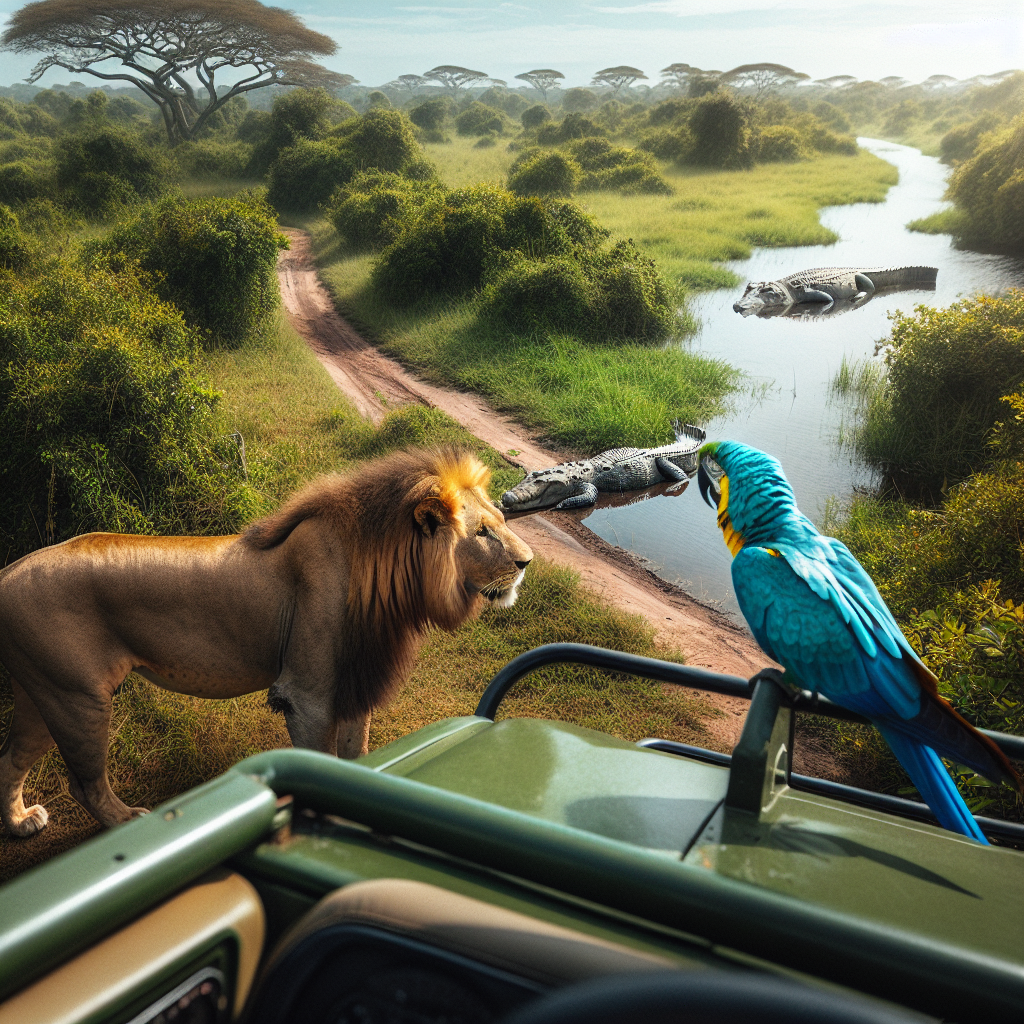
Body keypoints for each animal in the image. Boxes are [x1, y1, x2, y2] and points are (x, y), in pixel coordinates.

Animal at [0, 448, 528, 831]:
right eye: (483, 533)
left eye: (503, 521)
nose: (527, 562)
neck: (385, 579)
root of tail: (7, 573)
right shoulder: (307, 696)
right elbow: (321, 759)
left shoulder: (356, 684)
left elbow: (356, 755)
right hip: (79, 699)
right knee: (83, 784)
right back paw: (128, 822)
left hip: (42, 694)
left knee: (10, 759)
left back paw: (21, 822)